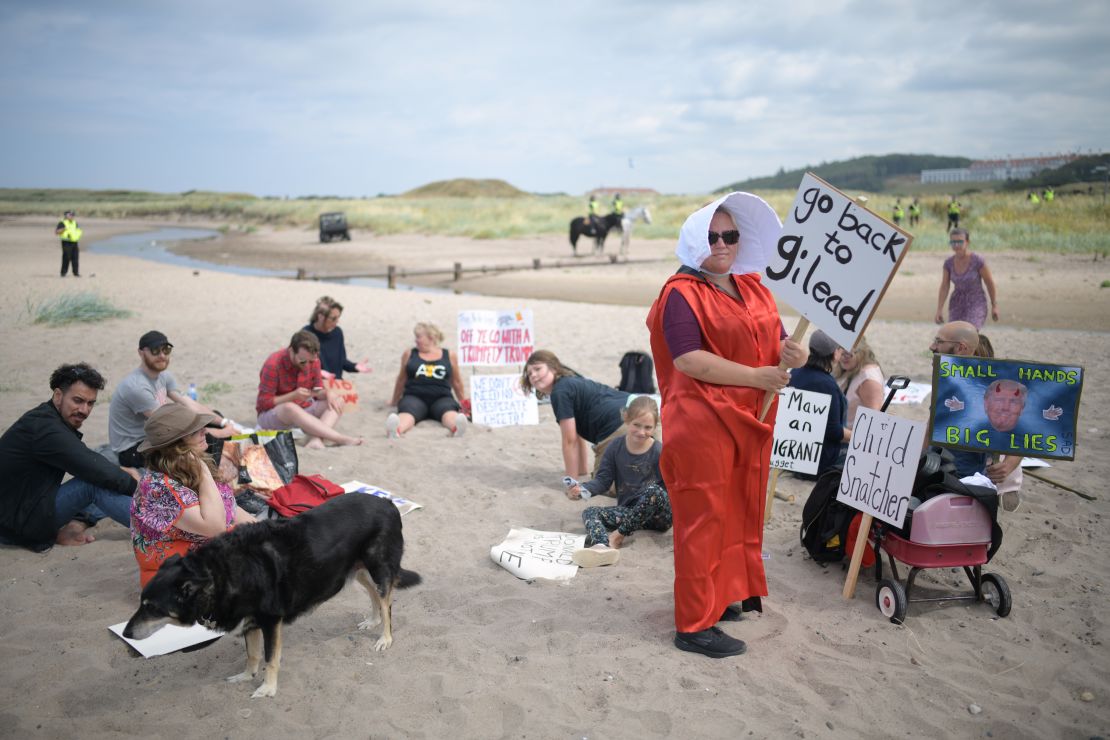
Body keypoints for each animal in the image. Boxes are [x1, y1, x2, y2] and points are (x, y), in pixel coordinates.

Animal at [122, 494, 419, 696]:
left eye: (152, 607)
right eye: (141, 603)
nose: (126, 633)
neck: (219, 574)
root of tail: (388, 503)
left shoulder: (270, 621)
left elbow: (269, 659)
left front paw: (267, 689)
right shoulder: (250, 624)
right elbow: (252, 656)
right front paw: (245, 677)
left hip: (377, 567)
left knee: (387, 604)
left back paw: (385, 638)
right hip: (356, 569)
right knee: (375, 596)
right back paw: (372, 621)